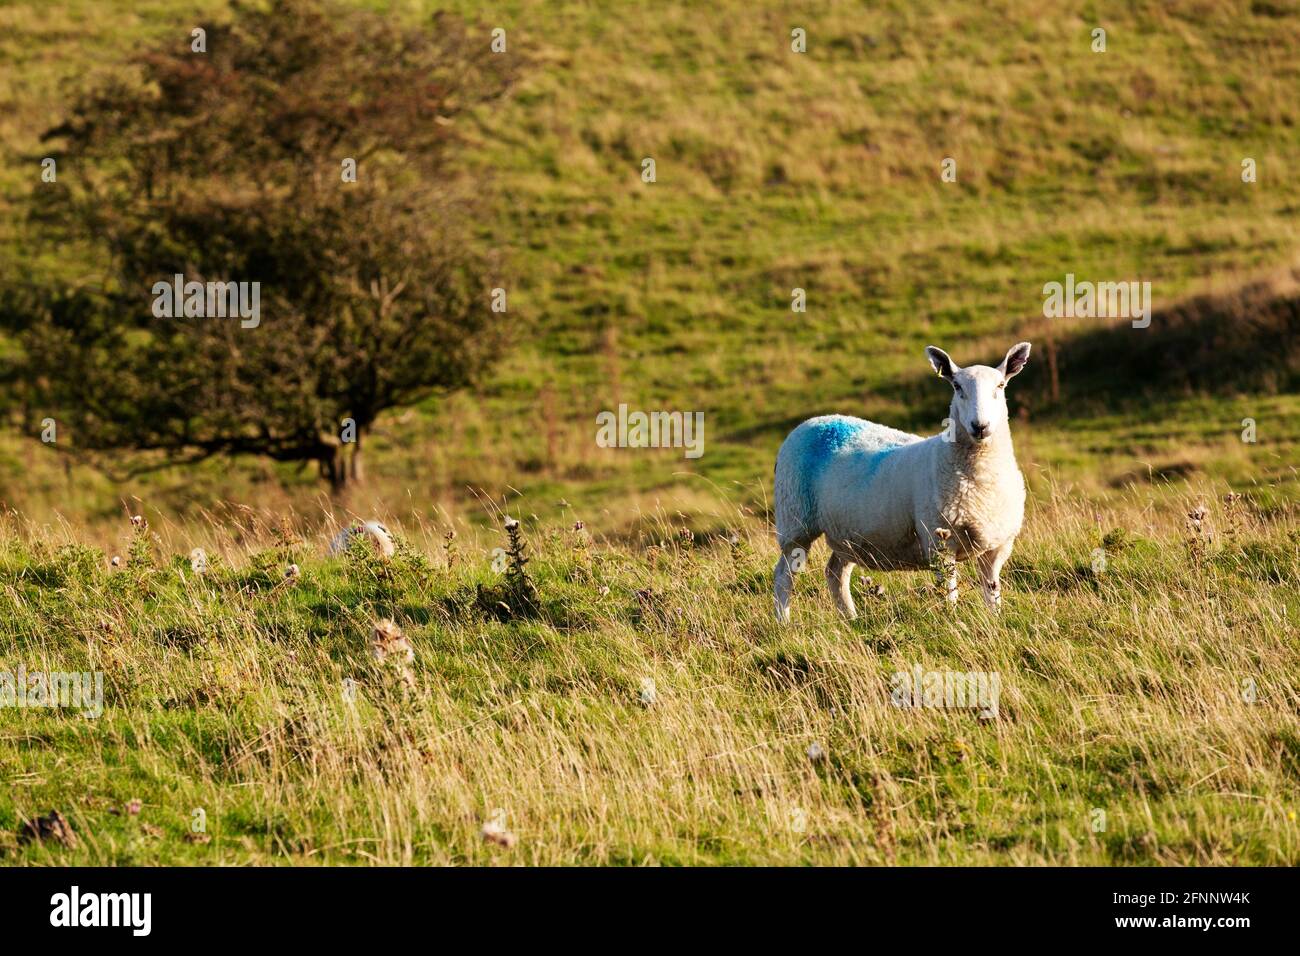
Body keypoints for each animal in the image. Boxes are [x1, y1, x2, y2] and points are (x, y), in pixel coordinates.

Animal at [769, 340, 1034, 624]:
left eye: (1001, 386)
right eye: (957, 387)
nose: (980, 426)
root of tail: (814, 420)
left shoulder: (997, 546)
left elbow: (992, 591)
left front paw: (995, 620)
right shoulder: (938, 543)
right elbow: (949, 593)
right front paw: (952, 621)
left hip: (846, 532)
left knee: (835, 572)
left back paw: (851, 619)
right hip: (795, 520)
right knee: (784, 575)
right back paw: (784, 623)